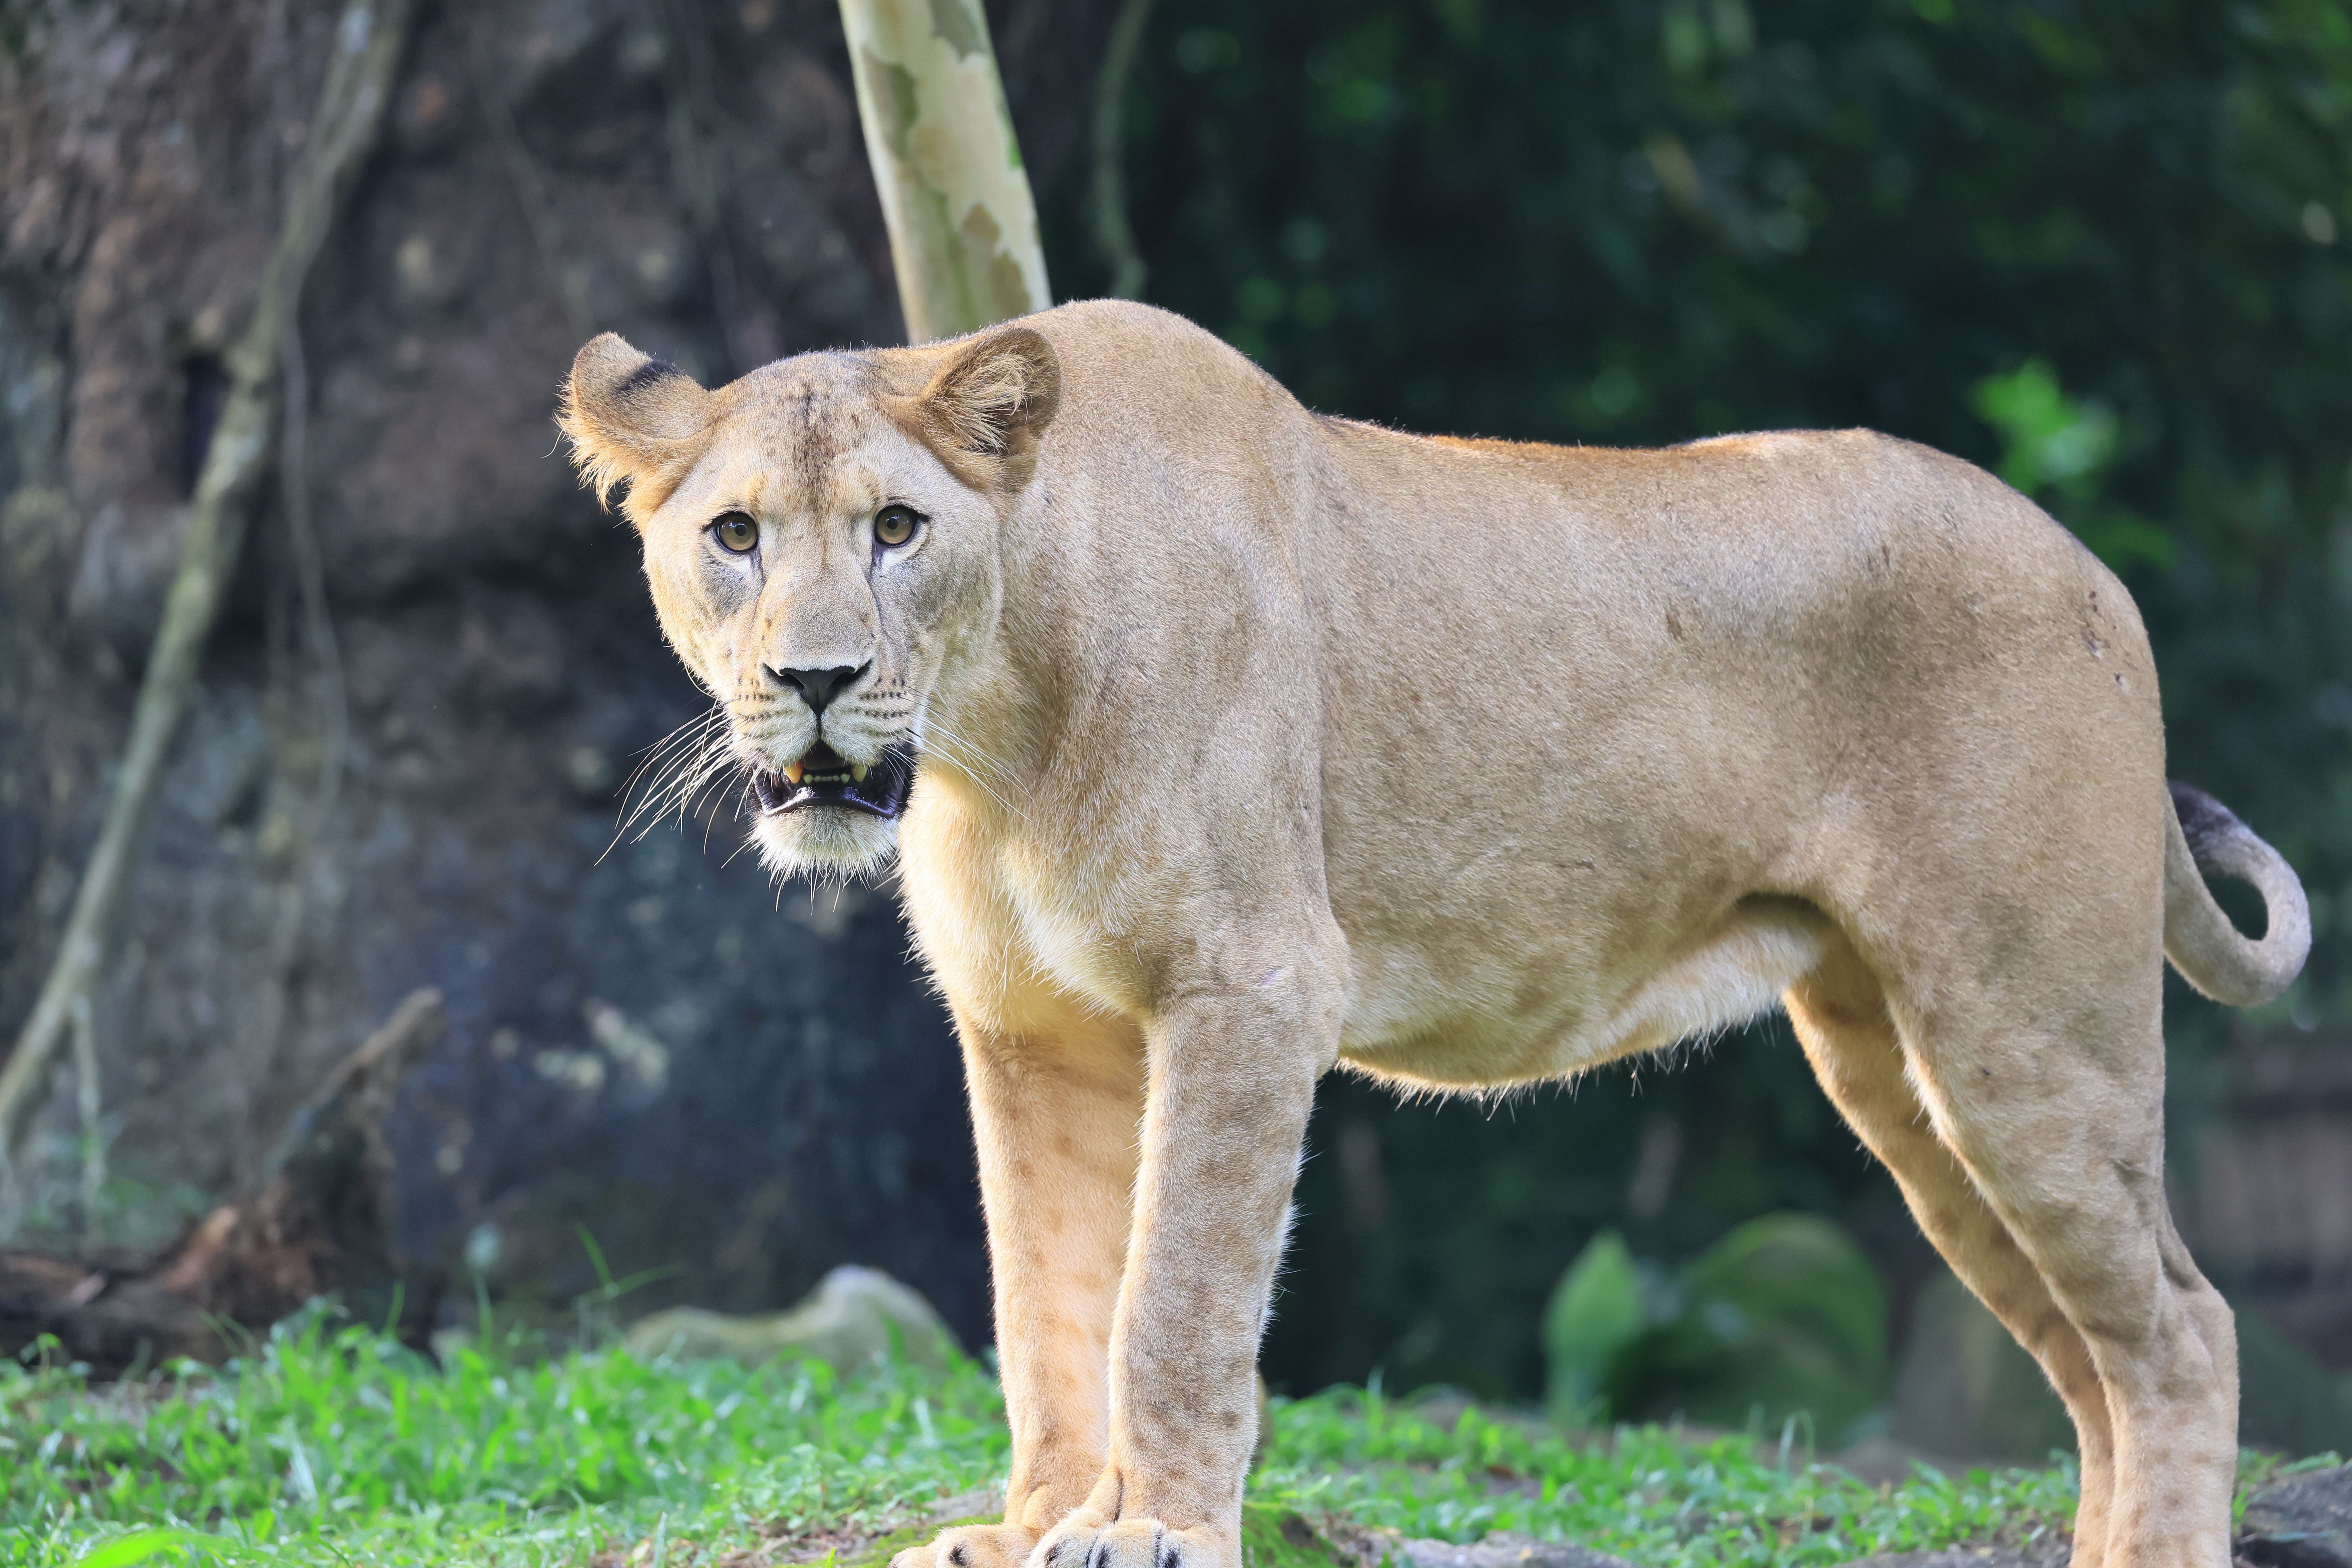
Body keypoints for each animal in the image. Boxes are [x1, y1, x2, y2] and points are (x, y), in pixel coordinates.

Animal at [559, 299, 2309, 1568]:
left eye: (897, 530)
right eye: (734, 536)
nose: (819, 680)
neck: (997, 738)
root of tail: (2096, 570)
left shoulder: (1253, 984)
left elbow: (1170, 1300)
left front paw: (1155, 1532)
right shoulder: (1031, 1031)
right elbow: (1041, 1307)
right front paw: (1036, 1525)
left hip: (2027, 1025)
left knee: (2185, 1331)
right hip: (1897, 1065)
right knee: (2090, 1355)